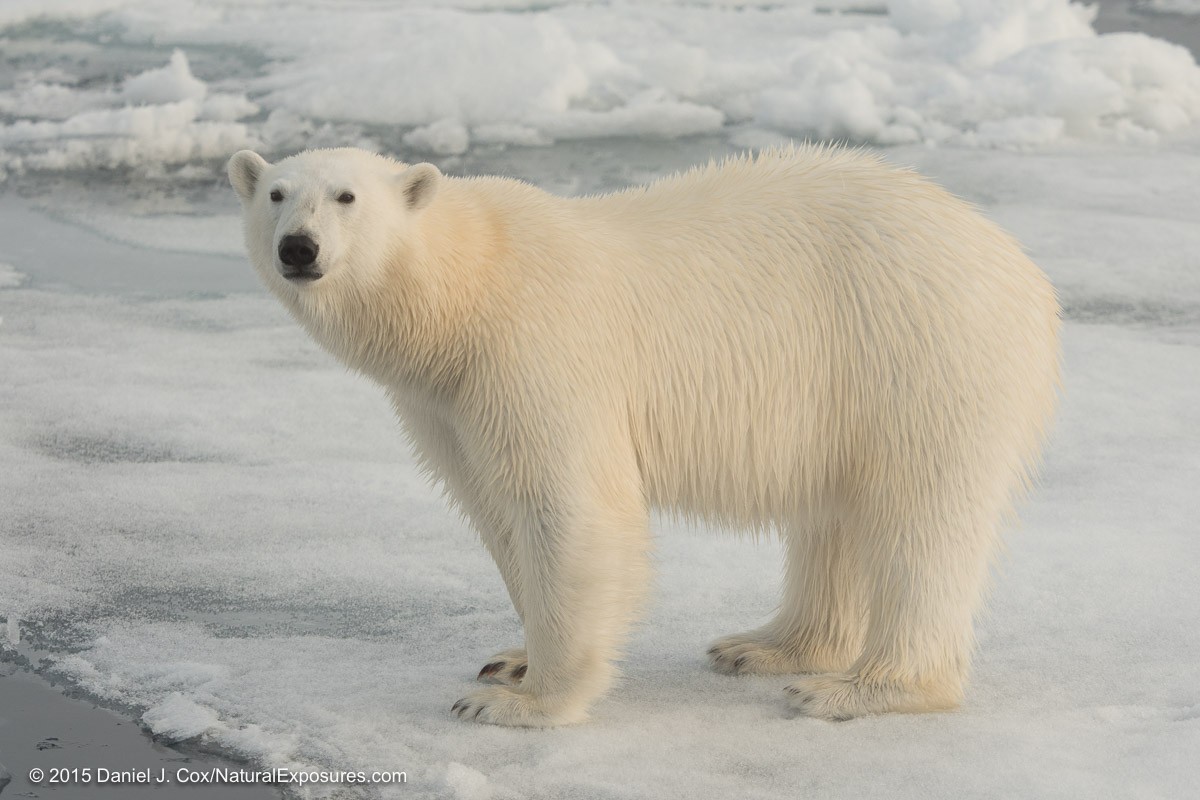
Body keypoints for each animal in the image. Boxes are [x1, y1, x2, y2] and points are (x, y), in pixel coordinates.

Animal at [228, 145, 1060, 727]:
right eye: (275, 194)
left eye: (347, 196)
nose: (299, 248)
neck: (467, 290)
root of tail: (1021, 269)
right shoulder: (446, 403)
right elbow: (495, 511)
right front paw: (510, 661)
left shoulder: (536, 351)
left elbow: (571, 509)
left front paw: (518, 702)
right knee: (835, 516)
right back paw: (764, 646)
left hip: (918, 354)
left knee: (920, 521)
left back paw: (856, 689)